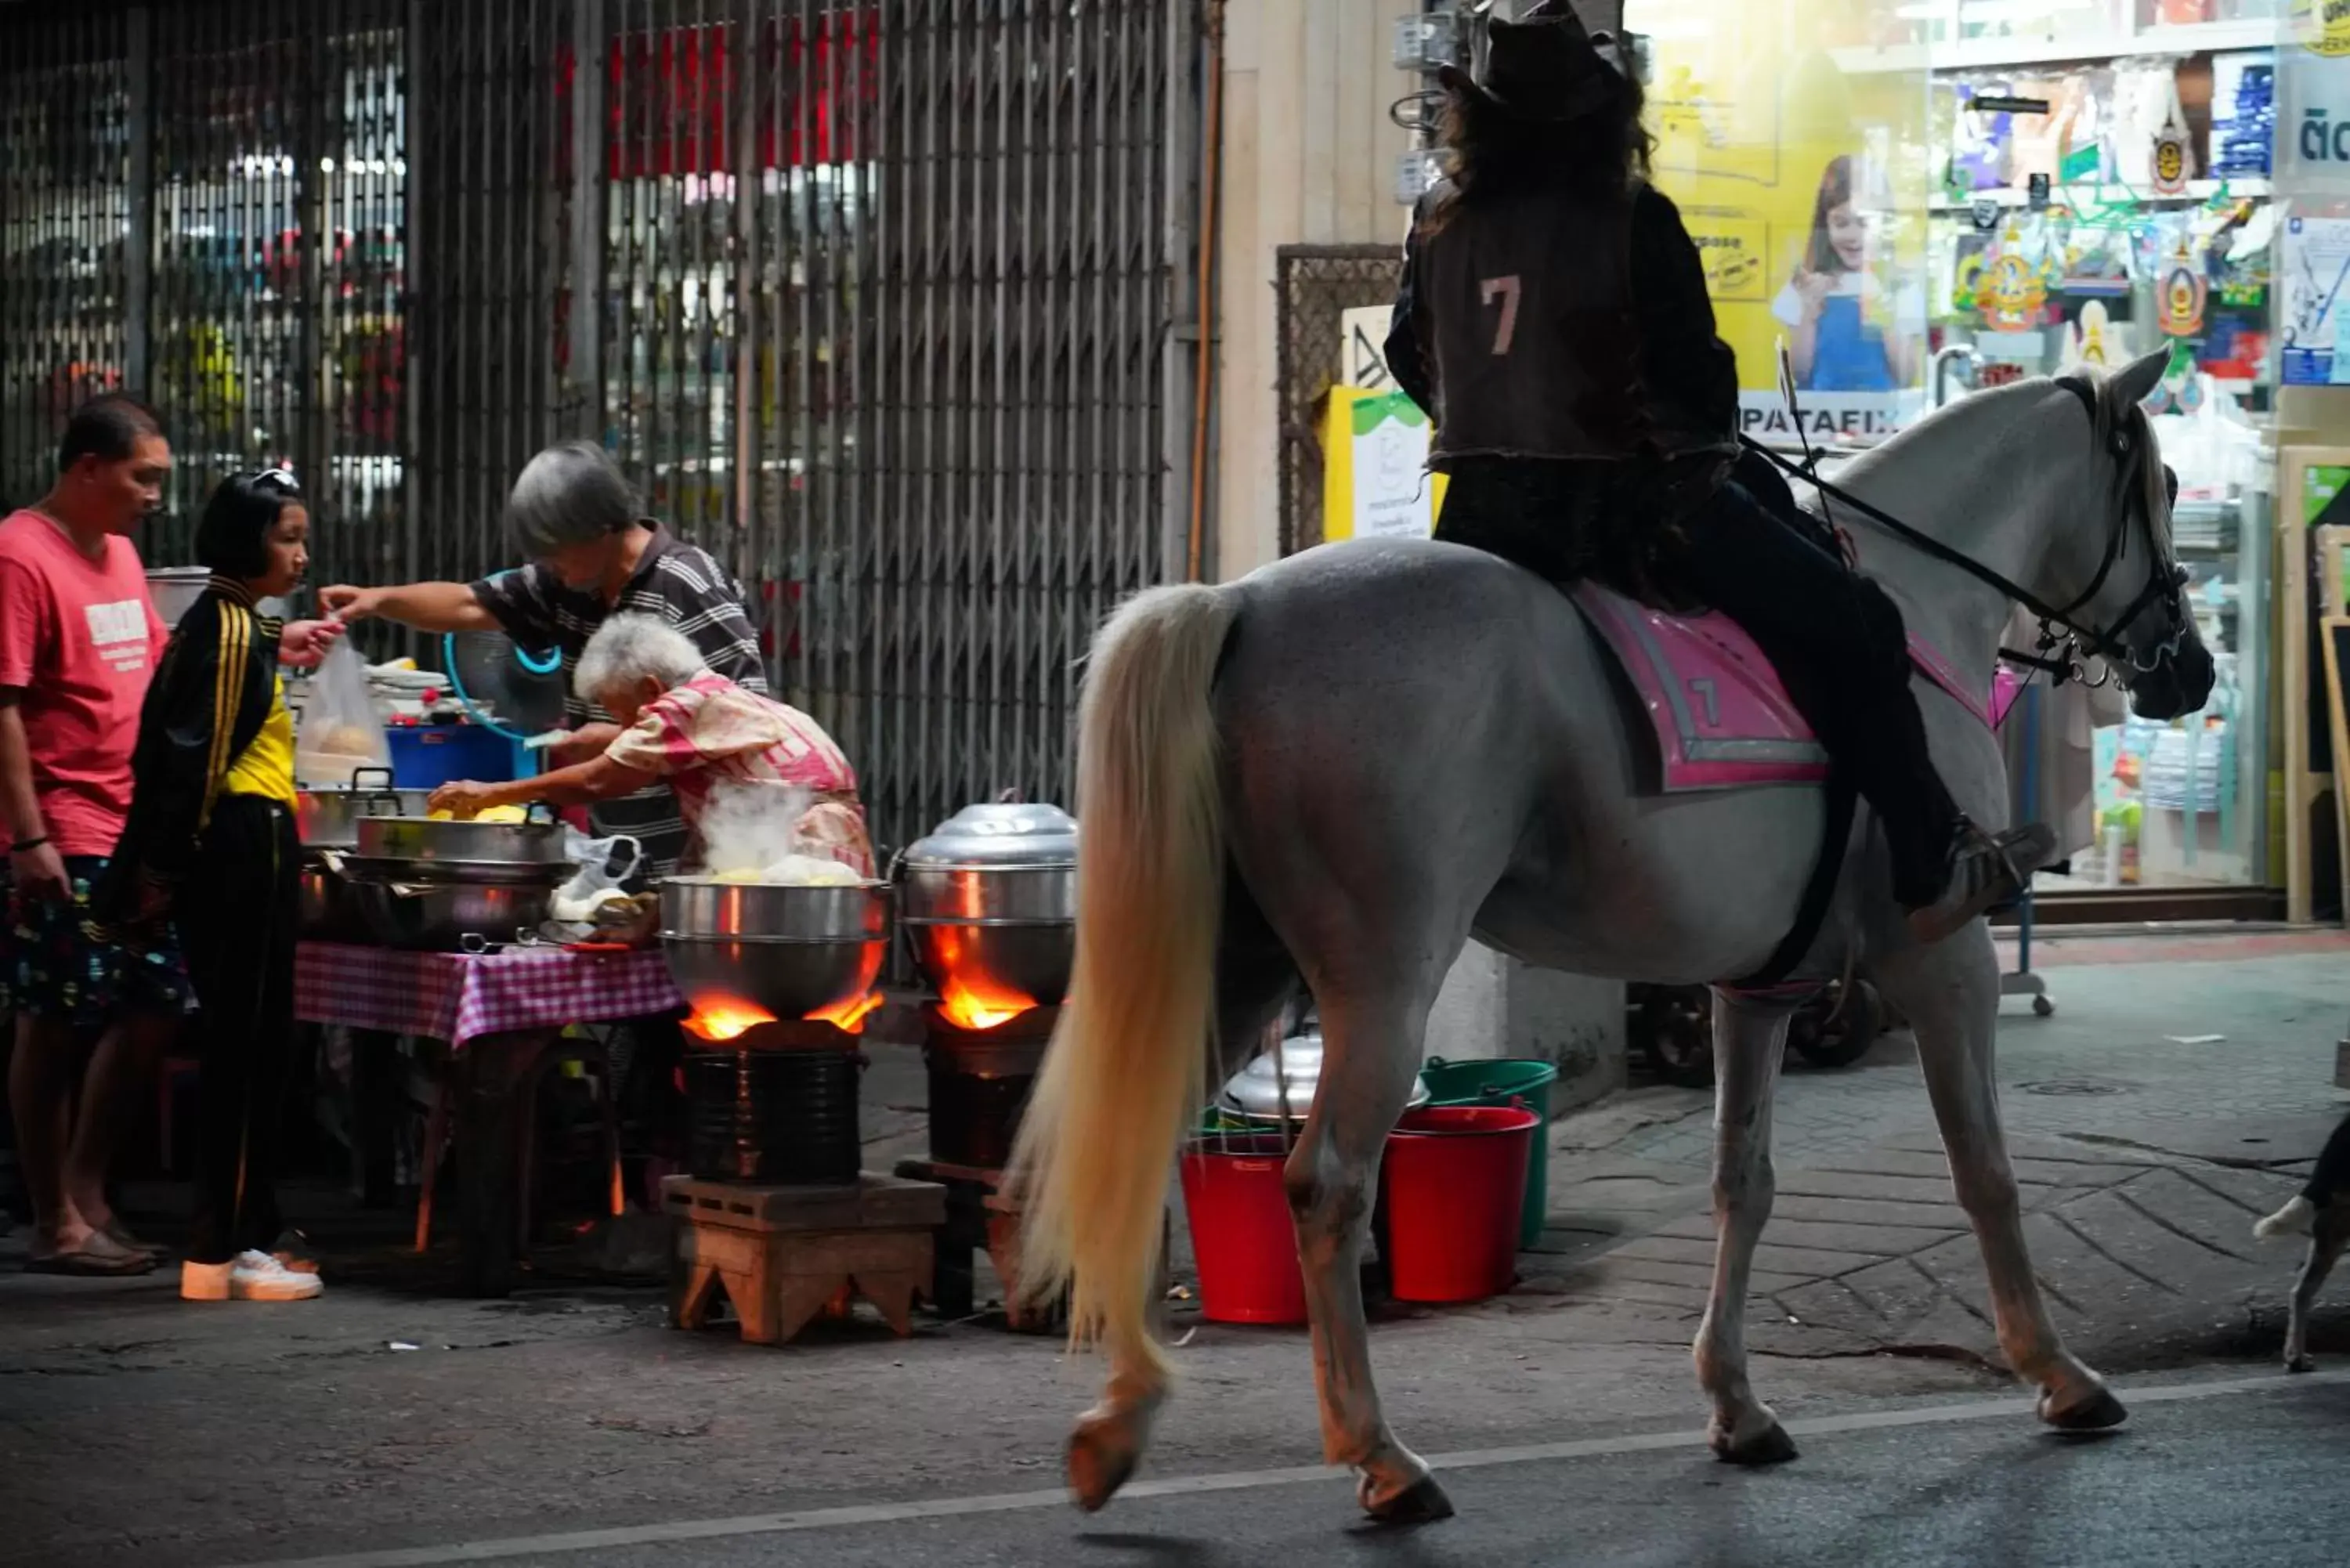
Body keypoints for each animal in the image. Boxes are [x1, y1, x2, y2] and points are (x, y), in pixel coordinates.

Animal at [1006, 350, 2200, 1523]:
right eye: (2171, 485)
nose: (2190, 668)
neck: (1917, 602)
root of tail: (1241, 601)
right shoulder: (1945, 960)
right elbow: (1986, 1169)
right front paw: (2058, 1372)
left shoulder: (1757, 990)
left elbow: (1743, 1181)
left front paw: (1736, 1402)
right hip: (1381, 981)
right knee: (1327, 1182)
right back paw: (1380, 1455)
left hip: (1239, 962)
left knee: (1142, 1135)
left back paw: (1120, 1421)